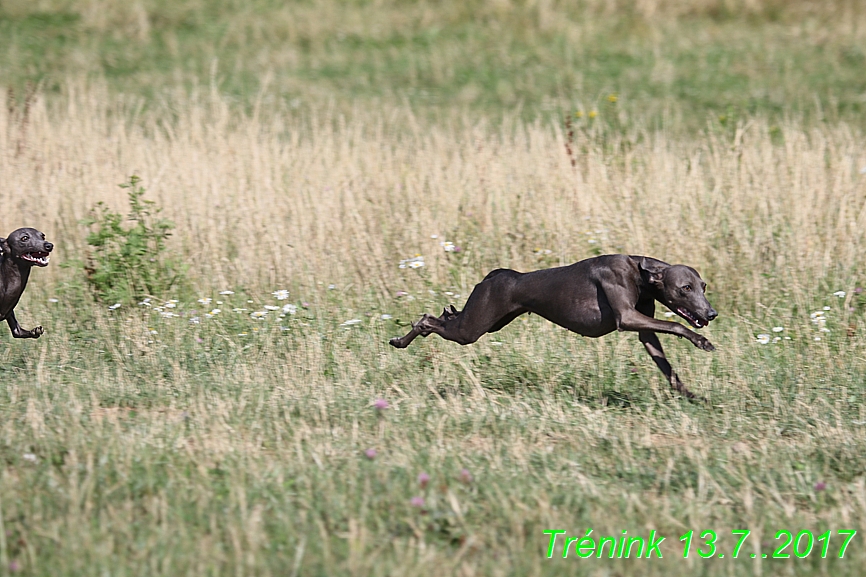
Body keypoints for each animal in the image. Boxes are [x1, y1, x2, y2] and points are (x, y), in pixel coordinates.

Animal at [392, 254, 716, 398]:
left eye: (703, 286)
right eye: (685, 288)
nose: (711, 313)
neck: (640, 272)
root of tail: (494, 275)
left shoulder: (645, 329)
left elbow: (666, 365)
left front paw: (690, 395)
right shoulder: (627, 317)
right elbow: (677, 326)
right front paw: (702, 342)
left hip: (488, 321)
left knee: (443, 316)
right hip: (472, 328)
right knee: (427, 321)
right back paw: (399, 341)